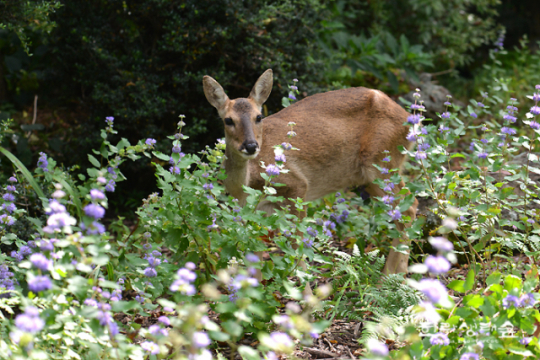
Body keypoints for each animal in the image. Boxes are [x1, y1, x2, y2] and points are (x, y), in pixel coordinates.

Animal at [202, 69, 418, 274]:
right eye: (228, 120)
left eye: (259, 116)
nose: (251, 145)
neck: (246, 185)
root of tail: (410, 120)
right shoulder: (254, 213)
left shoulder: (298, 185)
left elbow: (298, 247)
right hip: (370, 178)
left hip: (382, 162)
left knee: (410, 207)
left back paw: (390, 278)